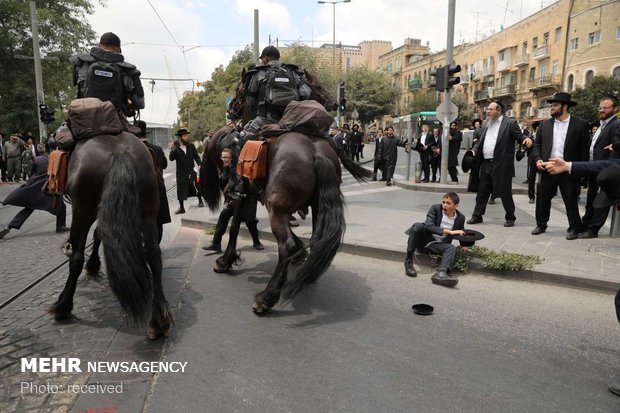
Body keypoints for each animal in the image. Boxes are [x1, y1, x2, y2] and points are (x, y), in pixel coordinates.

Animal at [48, 132, 173, 338]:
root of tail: (119, 151)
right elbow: (100, 234)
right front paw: (94, 264)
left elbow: (87, 245)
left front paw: (91, 265)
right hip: (148, 211)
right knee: (154, 255)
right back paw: (159, 319)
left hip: (83, 210)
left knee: (76, 256)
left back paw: (63, 304)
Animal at [201, 69, 370, 312]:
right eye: (318, 85)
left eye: (240, 89)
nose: (230, 108)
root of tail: (317, 153)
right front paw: (301, 253)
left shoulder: (242, 196)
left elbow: (234, 225)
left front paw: (226, 260)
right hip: (316, 206)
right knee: (316, 239)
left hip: (276, 209)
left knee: (286, 246)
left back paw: (267, 296)